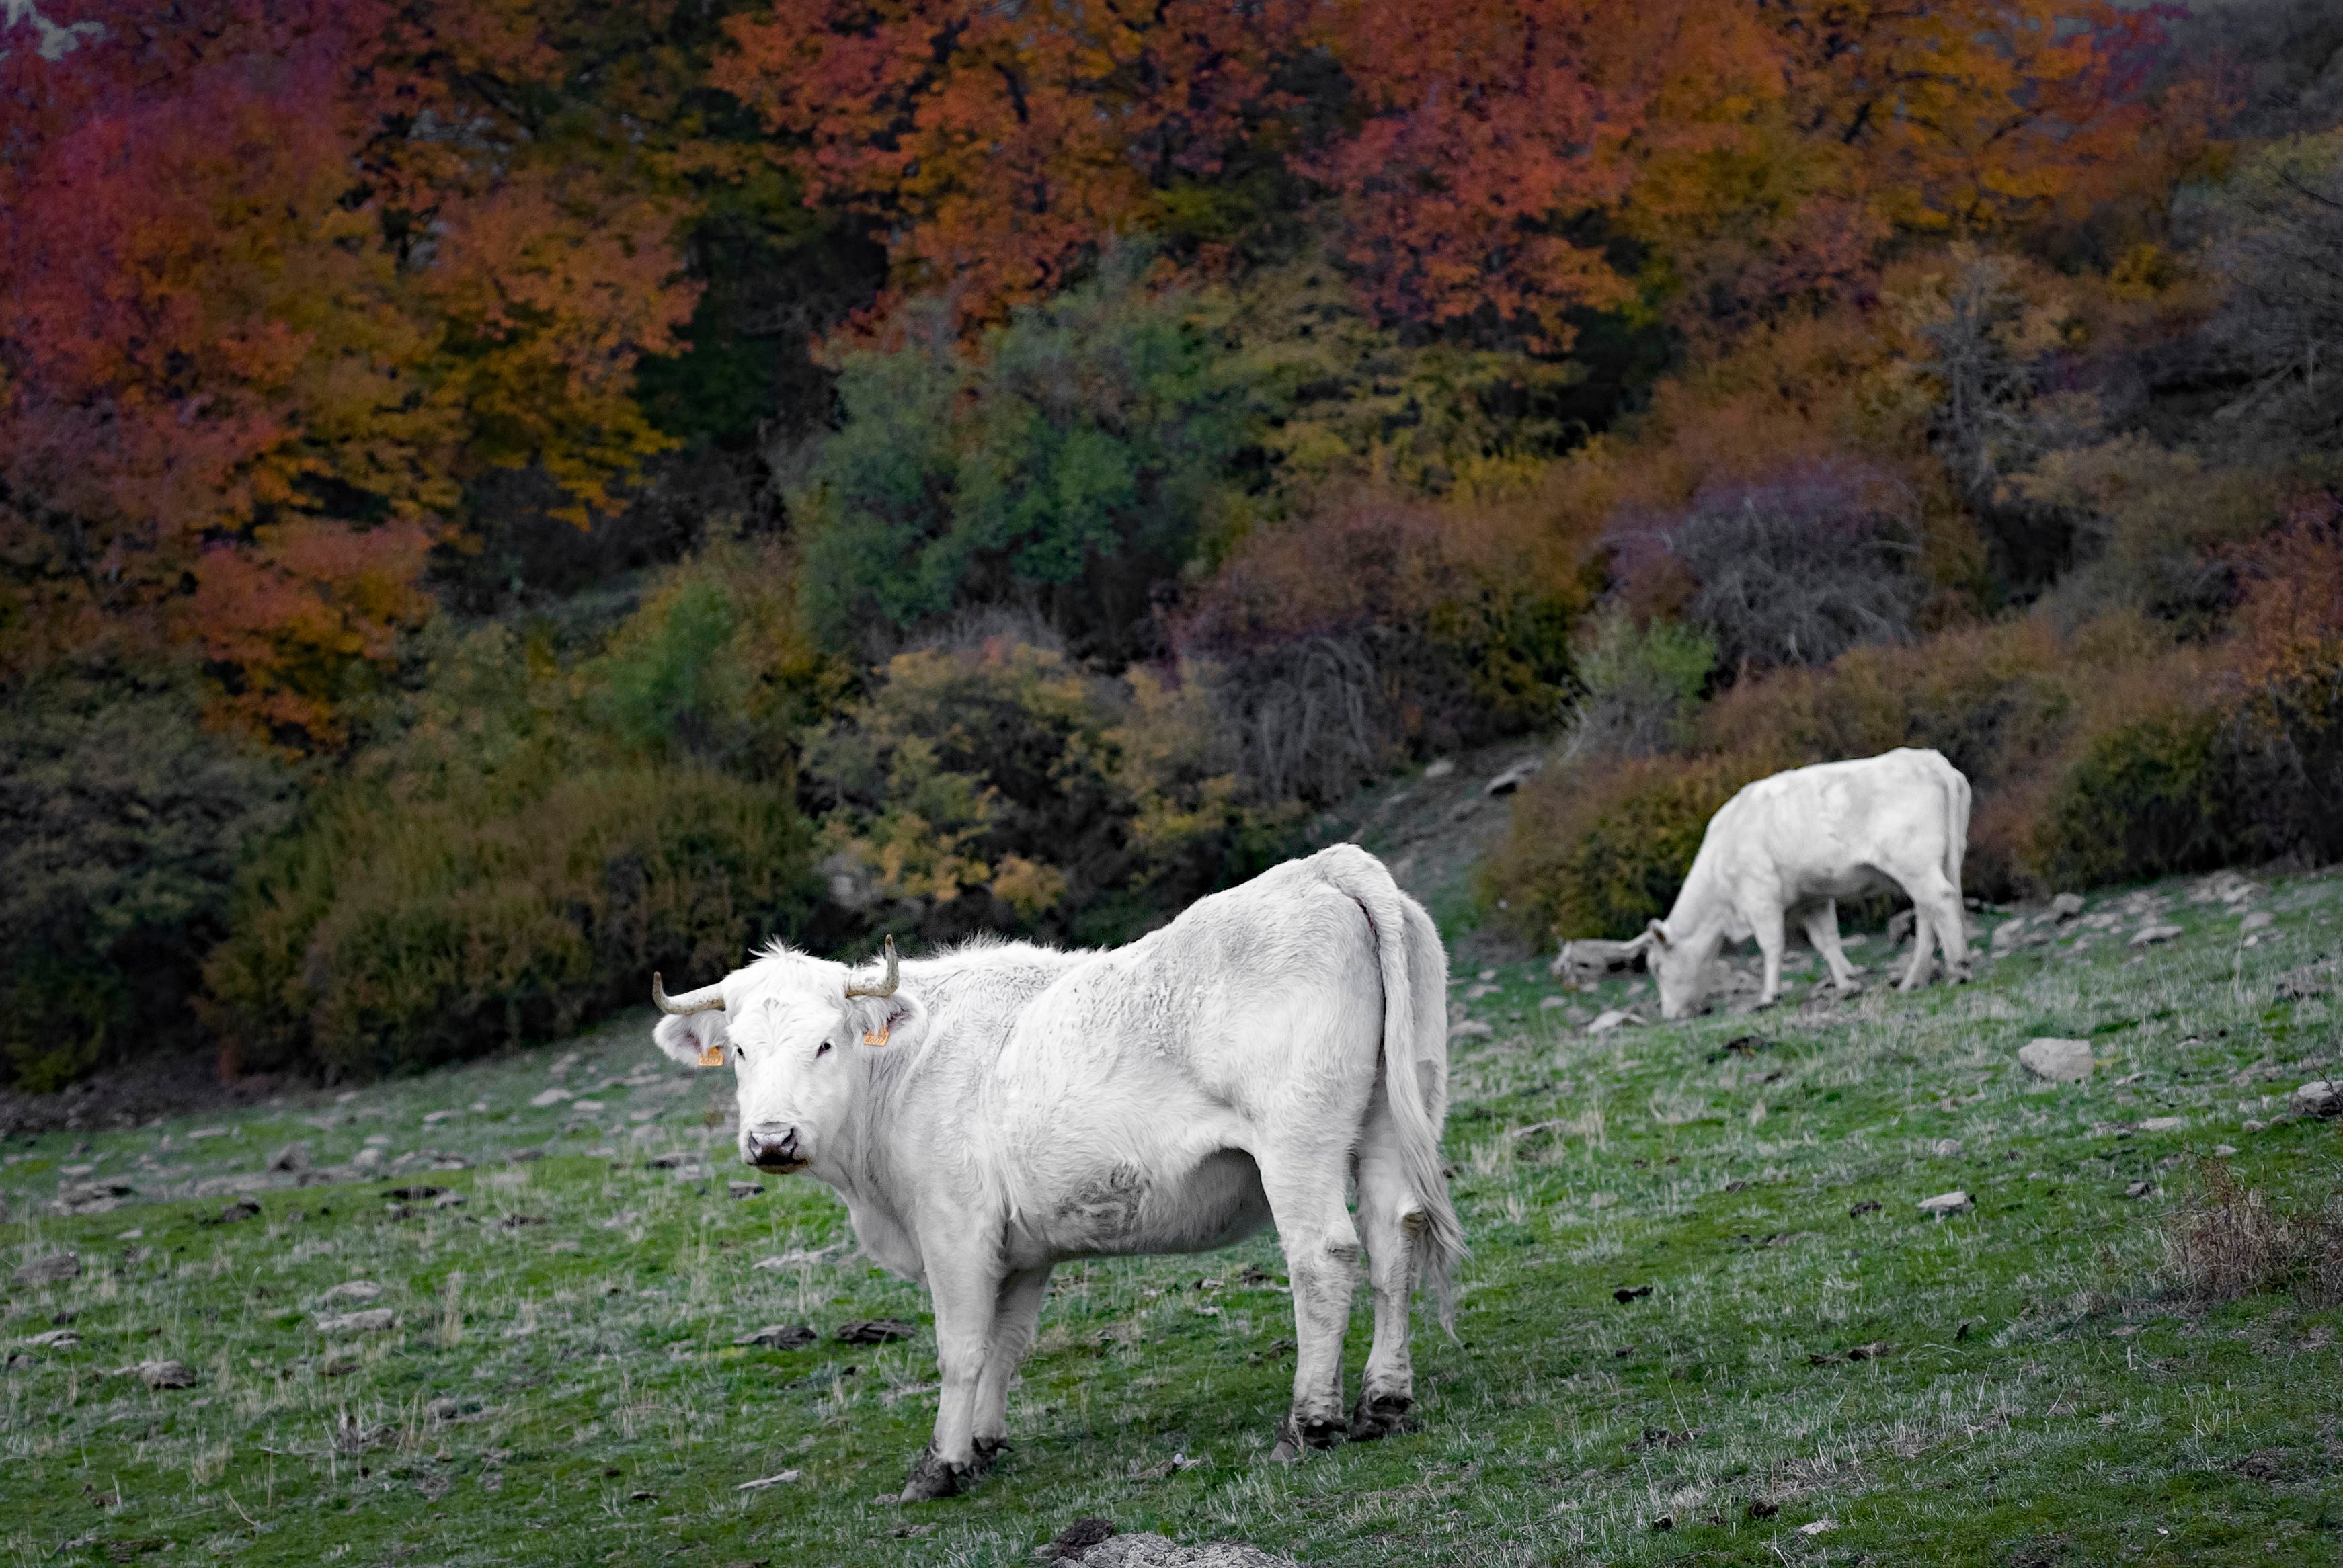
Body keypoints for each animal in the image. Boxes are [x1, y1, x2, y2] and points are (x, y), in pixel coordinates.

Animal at [646, 839, 1462, 1499]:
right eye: (739, 1049)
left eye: (823, 1043)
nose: (771, 1138)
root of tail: (1322, 868)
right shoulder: (1021, 1247)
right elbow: (1003, 1346)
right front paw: (981, 1444)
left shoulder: (954, 1227)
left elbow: (960, 1349)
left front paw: (940, 1465)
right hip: (1389, 1117)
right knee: (1393, 1237)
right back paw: (1383, 1402)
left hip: (1296, 1140)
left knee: (1322, 1256)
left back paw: (1309, 1420)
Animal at [1630, 745, 1977, 1017]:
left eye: (1657, 968)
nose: (1670, 1015)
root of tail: (1929, 758)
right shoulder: (1813, 897)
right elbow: (1827, 941)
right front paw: (1848, 984)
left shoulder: (1760, 896)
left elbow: (1771, 946)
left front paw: (1769, 996)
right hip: (1939, 861)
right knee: (1928, 914)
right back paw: (1913, 980)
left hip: (1913, 862)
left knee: (1942, 901)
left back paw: (1959, 969)